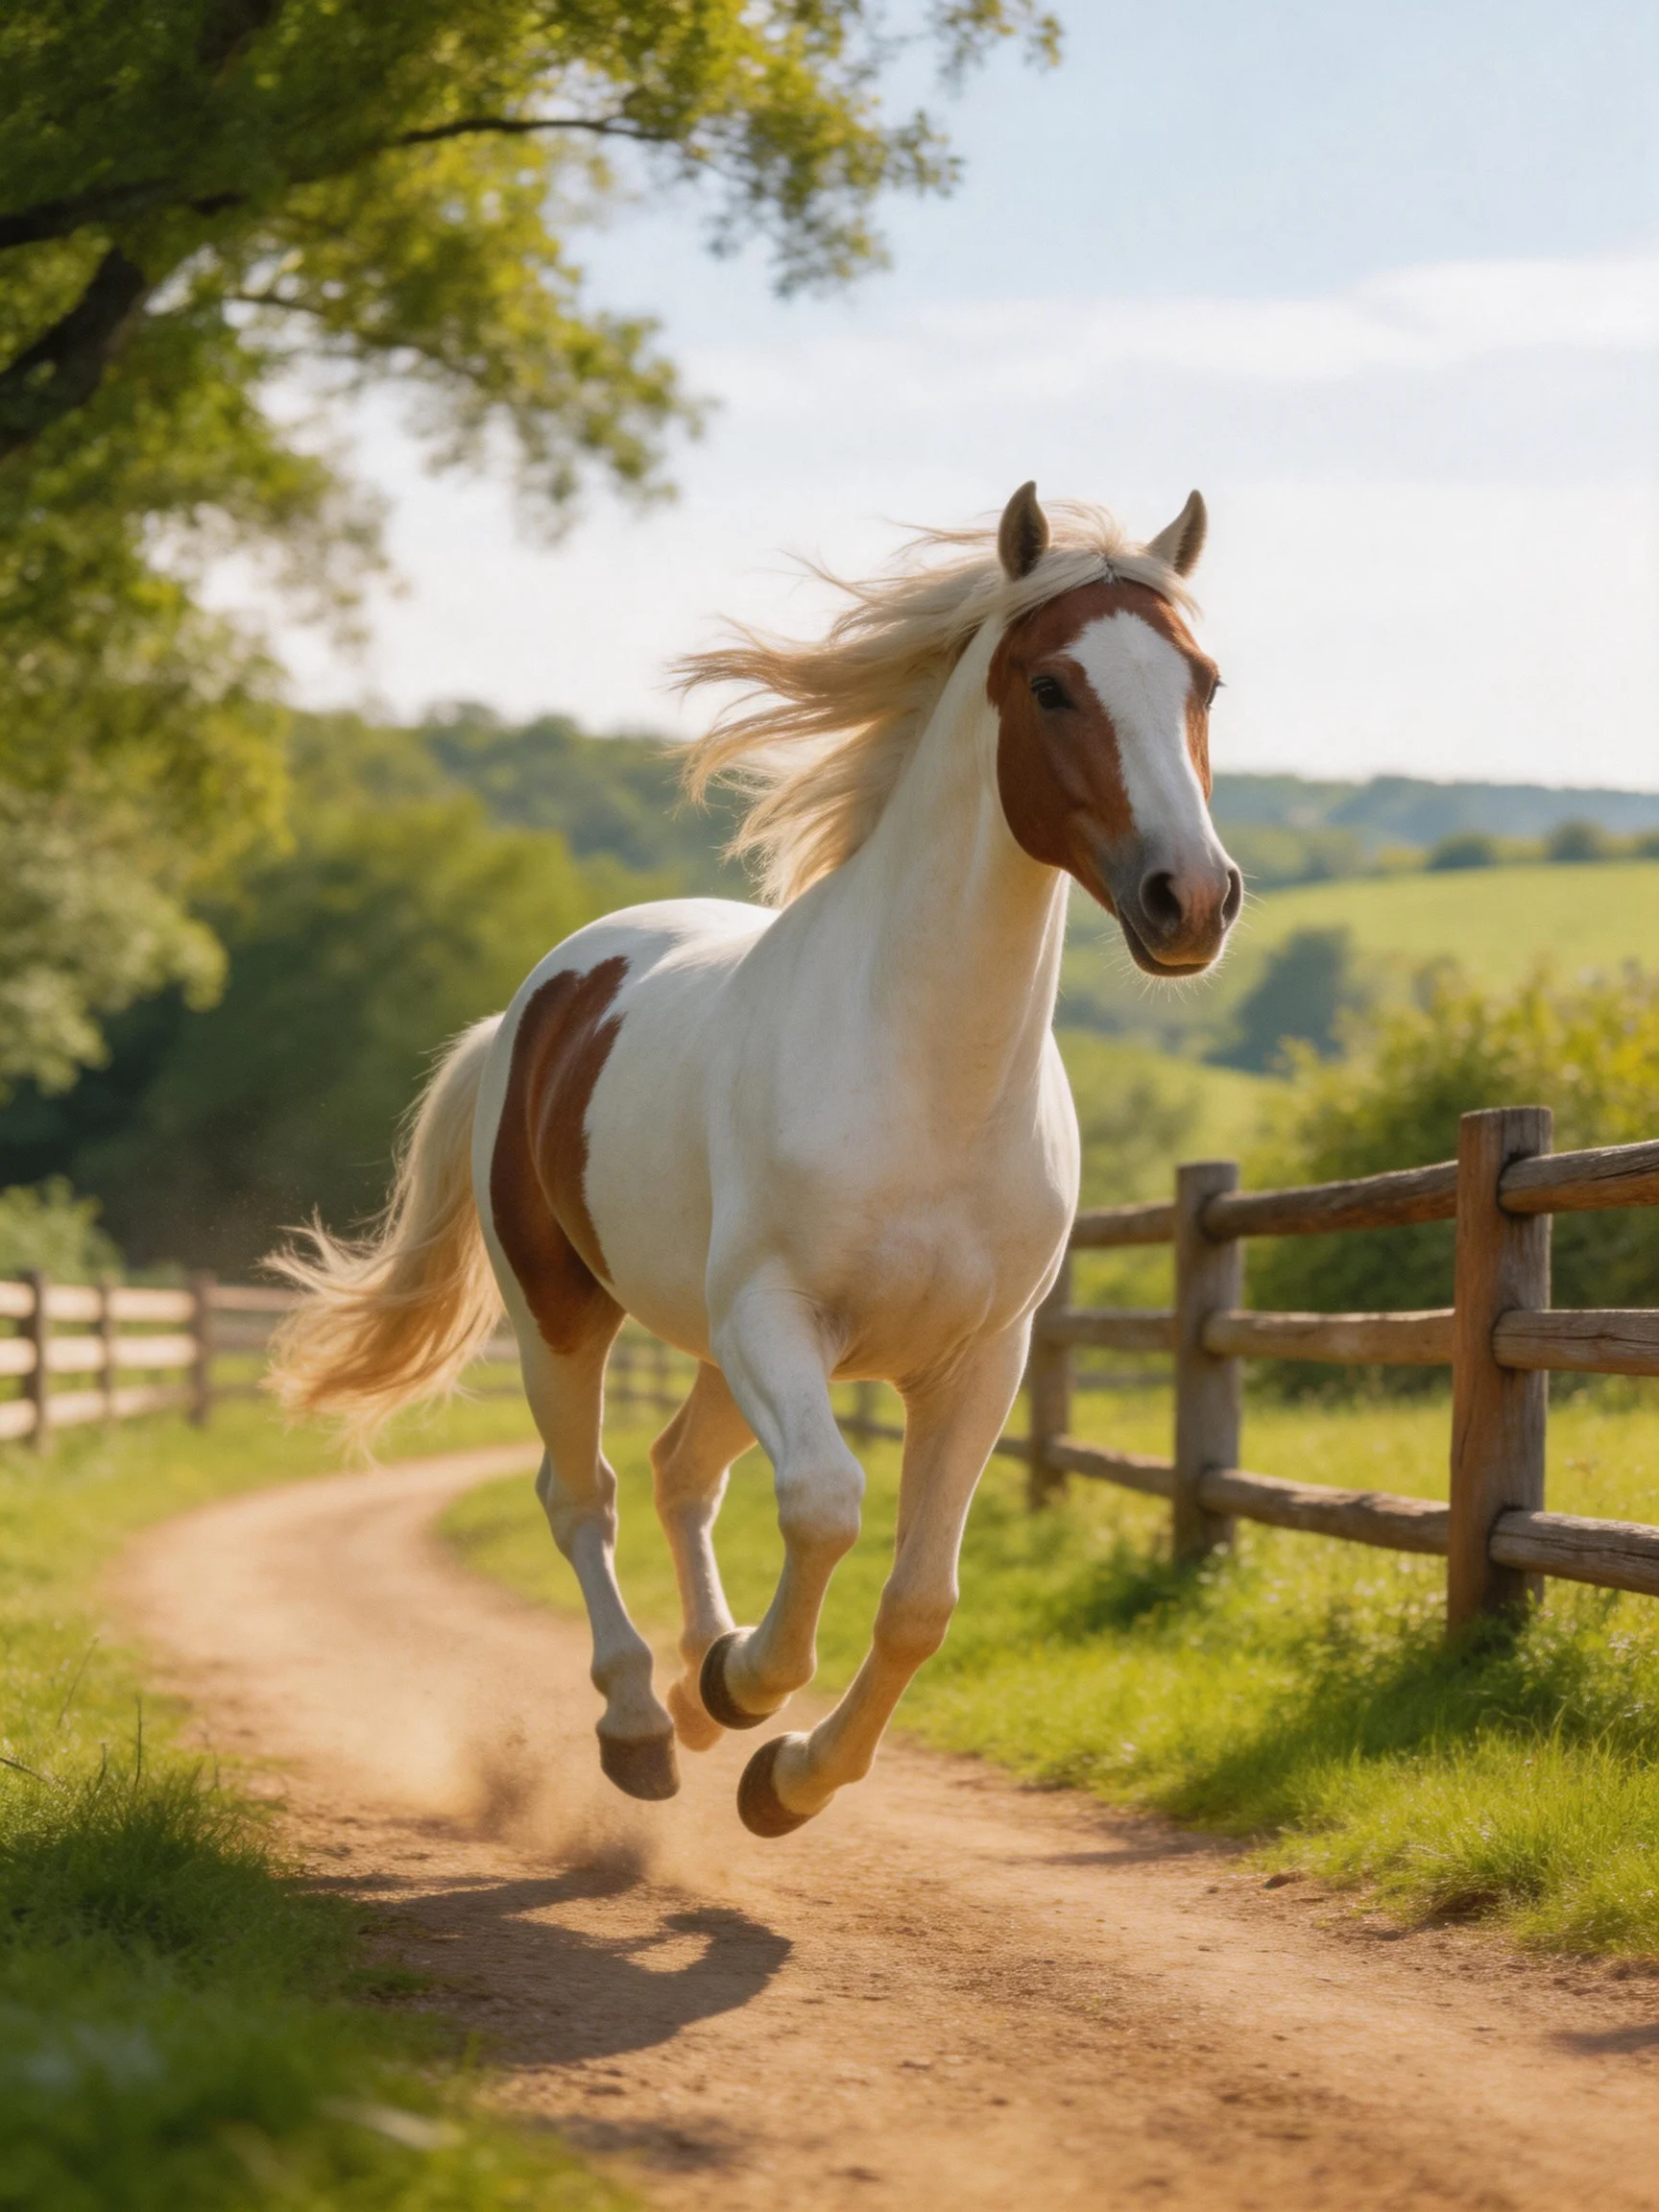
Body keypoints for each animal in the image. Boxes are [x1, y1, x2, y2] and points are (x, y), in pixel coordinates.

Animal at [269, 481, 1242, 1838]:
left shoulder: (978, 1362)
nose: (1189, 899)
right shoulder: (779, 1319)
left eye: (1204, 679)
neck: (926, 1079)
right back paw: (642, 1720)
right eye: (1052, 685)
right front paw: (748, 1690)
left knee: (680, 1473)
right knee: (585, 1495)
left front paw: (785, 1773)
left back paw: (689, 1690)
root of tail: (531, 1006)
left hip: (718, 1350)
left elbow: (920, 1600)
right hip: (569, 1313)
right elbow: (827, 1506)